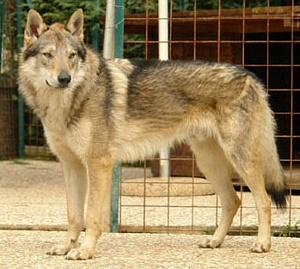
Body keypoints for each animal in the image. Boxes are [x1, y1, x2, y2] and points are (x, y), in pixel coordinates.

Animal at [18, 9, 286, 258]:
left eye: (71, 56)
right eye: (48, 55)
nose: (65, 78)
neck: (67, 102)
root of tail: (250, 76)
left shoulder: (99, 164)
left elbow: (92, 216)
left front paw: (85, 251)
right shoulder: (72, 165)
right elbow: (74, 216)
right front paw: (66, 248)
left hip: (240, 161)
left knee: (263, 200)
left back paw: (263, 244)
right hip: (209, 164)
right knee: (233, 201)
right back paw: (215, 241)